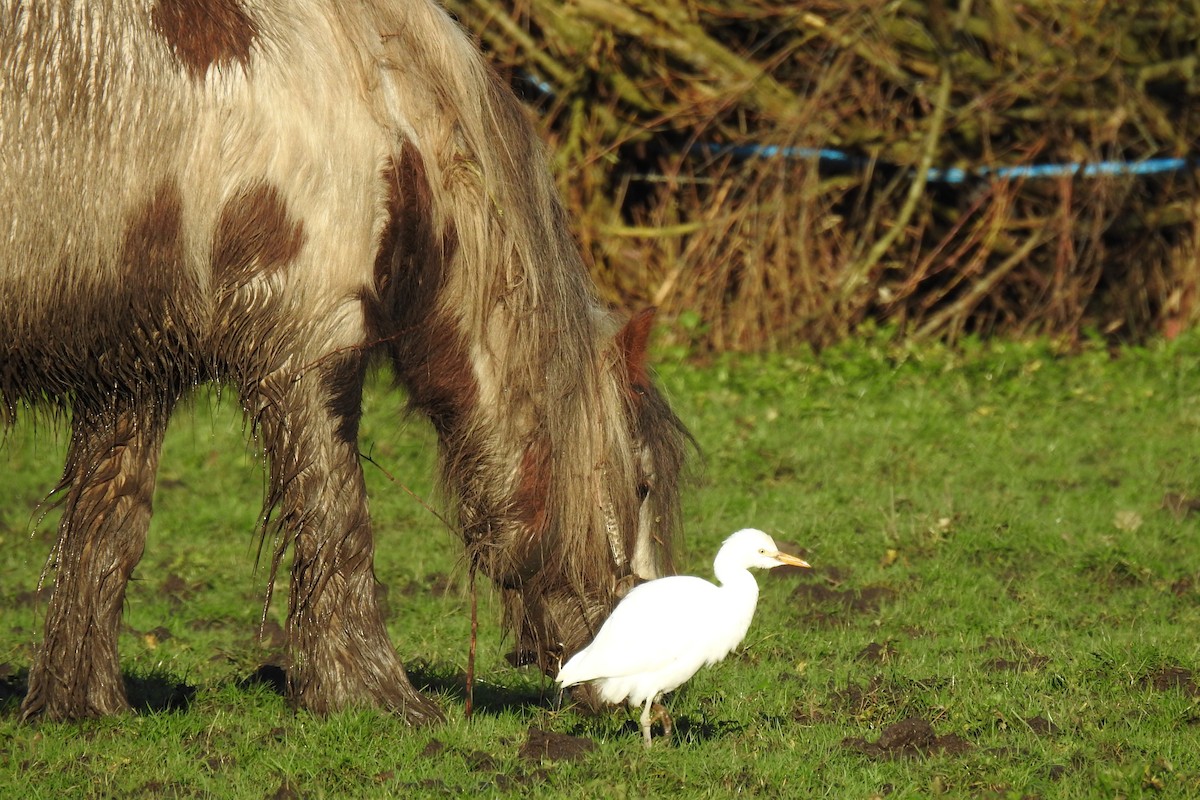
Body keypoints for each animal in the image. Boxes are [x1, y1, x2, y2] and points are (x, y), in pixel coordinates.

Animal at [0, 1, 691, 724]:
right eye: (643, 487)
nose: (661, 700)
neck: (379, 98)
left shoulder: (133, 367)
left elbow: (107, 527)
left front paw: (81, 704)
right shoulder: (306, 343)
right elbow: (337, 518)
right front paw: (373, 695)